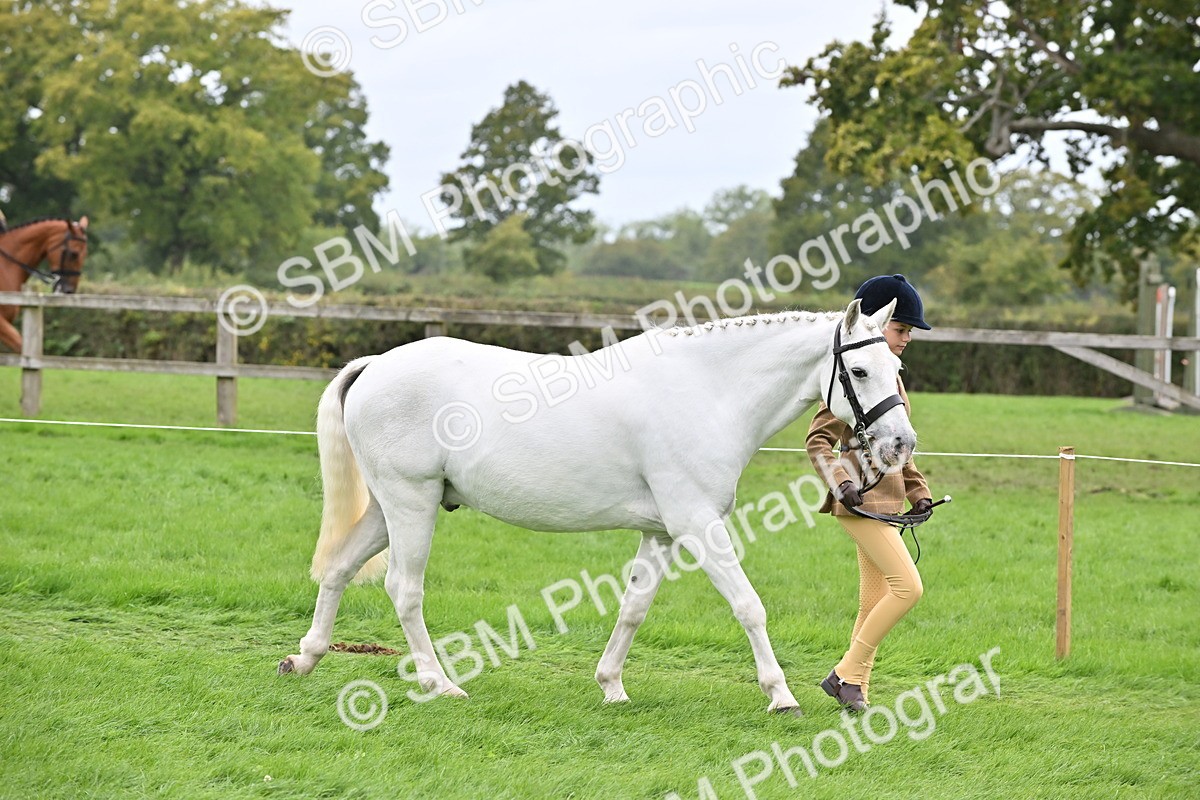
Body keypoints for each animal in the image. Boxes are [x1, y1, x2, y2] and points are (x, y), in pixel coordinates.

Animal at [279, 298, 916, 715]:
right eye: (860, 369)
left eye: (899, 368)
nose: (900, 445)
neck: (708, 392)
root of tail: (376, 364)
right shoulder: (697, 525)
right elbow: (748, 606)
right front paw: (780, 695)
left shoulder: (663, 532)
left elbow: (633, 608)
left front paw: (611, 684)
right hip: (411, 504)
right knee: (404, 591)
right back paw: (441, 685)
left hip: (391, 508)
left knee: (339, 568)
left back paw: (305, 659)